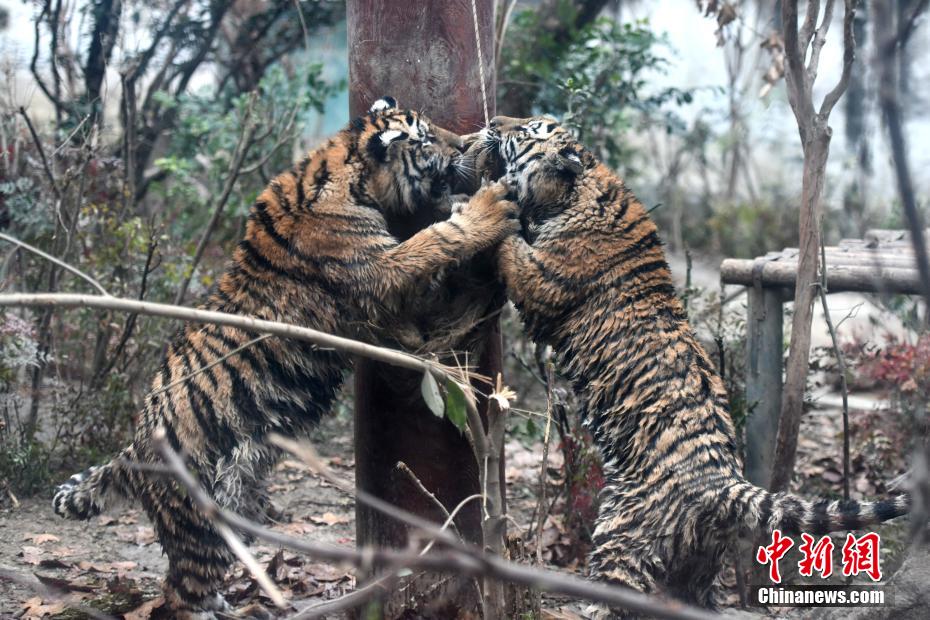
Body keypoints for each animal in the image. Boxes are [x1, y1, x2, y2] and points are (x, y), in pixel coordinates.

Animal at [50, 97, 520, 616]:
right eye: (430, 138)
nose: (464, 145)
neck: (349, 170)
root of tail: (132, 450)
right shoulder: (382, 272)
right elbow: (435, 240)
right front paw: (486, 209)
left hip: (238, 503)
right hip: (198, 522)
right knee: (180, 593)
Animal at [464, 117, 908, 616]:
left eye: (526, 130)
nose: (494, 123)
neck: (574, 190)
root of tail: (723, 484)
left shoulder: (541, 280)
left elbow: (512, 247)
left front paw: (485, 200)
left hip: (621, 531)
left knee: (618, 590)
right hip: (698, 559)